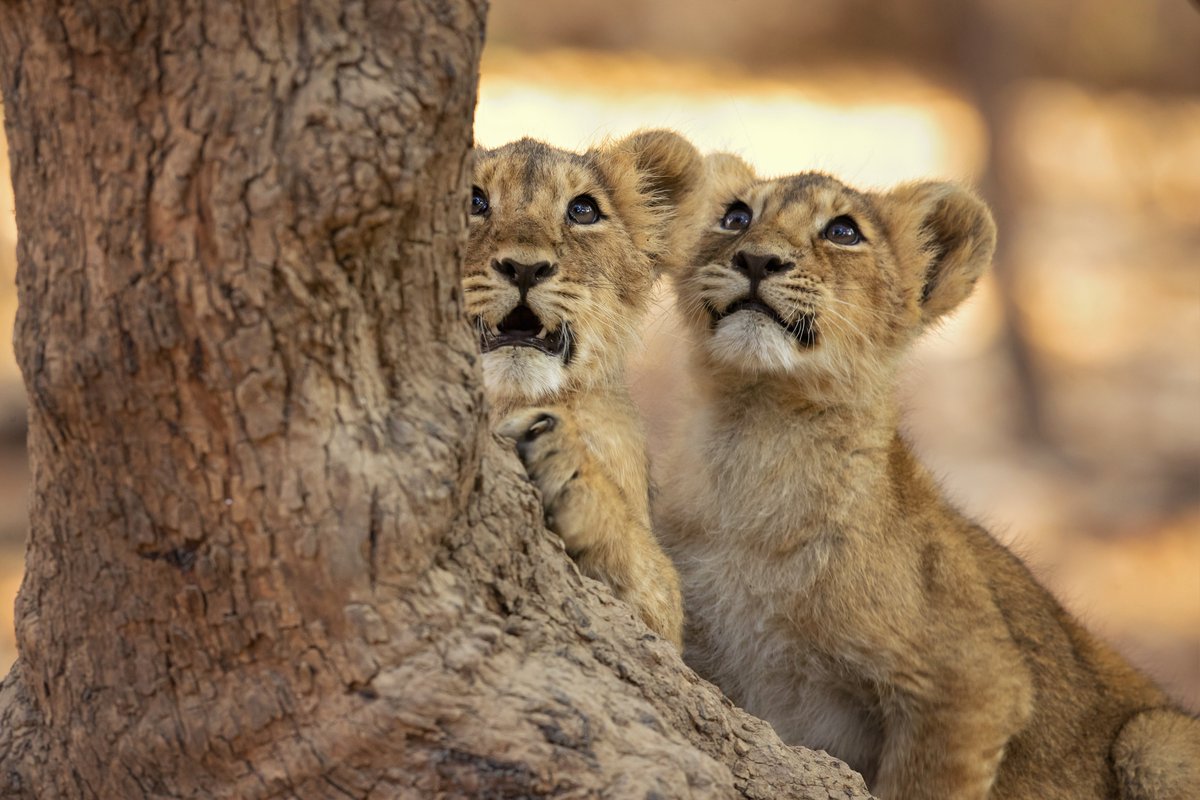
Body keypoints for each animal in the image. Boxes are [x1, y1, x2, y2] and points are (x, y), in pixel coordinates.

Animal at [464, 130, 705, 649]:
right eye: (473, 200)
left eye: (583, 210)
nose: (524, 269)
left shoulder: (665, 634)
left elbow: (650, 571)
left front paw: (562, 458)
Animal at [655, 156, 1200, 798]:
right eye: (735, 217)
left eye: (843, 231)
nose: (758, 260)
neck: (753, 438)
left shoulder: (976, 683)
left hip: (1156, 739)